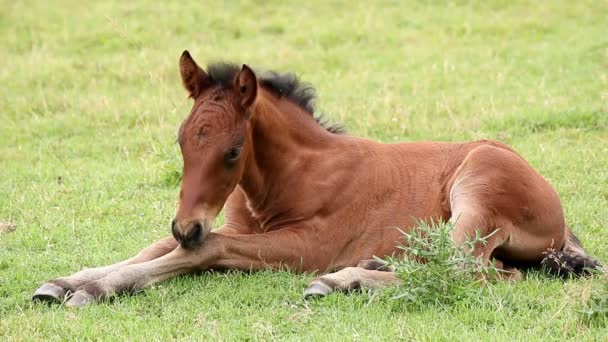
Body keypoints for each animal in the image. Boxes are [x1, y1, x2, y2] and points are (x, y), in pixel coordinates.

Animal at [33, 51, 600, 308]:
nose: (185, 224)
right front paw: (65, 281)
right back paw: (370, 267)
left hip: (478, 189)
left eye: (232, 150)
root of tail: (561, 223)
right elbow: (155, 247)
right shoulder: (227, 228)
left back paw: (342, 280)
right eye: (181, 140)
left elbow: (204, 250)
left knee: (471, 272)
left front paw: (95, 289)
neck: (293, 176)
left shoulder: (307, 245)